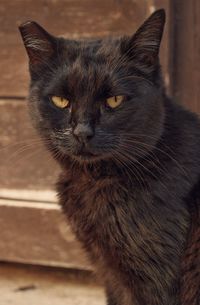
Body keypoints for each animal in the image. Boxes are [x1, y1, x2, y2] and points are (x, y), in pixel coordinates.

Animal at [19, 9, 200, 304]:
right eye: (60, 100)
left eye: (114, 100)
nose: (82, 132)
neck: (93, 181)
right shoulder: (110, 275)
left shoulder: (154, 278)